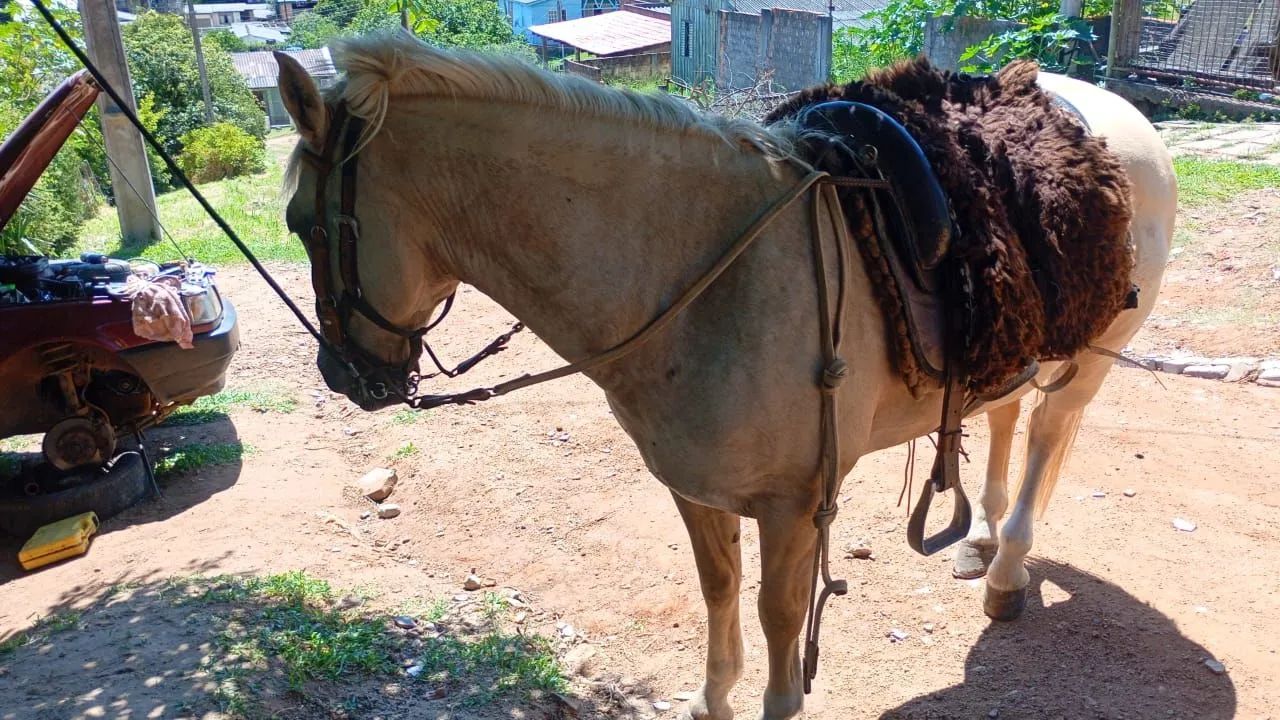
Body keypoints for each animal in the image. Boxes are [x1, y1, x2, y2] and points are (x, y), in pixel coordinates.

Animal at [275, 36, 1175, 720]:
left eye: (300, 222)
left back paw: (1006, 570)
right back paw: (980, 538)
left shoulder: (794, 506)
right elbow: (718, 591)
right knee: (1003, 420)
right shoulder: (694, 486)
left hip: (1088, 363)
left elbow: (778, 619)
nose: (342, 374)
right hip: (1014, 355)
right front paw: (712, 698)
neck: (706, 275)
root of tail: (1109, 118)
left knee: (1046, 443)